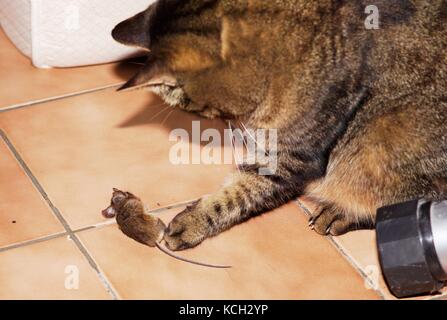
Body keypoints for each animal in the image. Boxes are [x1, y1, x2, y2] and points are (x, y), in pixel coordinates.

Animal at [110, 0, 446, 250]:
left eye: (189, 105)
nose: (204, 119)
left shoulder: (292, 158)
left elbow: (239, 195)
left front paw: (194, 222)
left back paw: (340, 212)